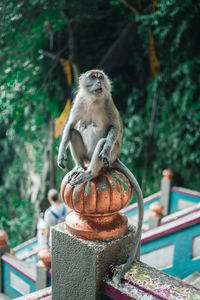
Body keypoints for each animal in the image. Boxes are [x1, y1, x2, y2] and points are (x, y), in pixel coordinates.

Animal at [57, 69, 144, 282]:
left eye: (100, 76)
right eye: (93, 76)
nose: (98, 82)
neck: (93, 100)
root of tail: (115, 159)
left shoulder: (108, 100)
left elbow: (114, 128)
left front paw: (105, 147)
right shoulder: (79, 101)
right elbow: (70, 125)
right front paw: (61, 154)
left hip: (110, 157)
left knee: (103, 142)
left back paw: (90, 173)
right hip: (87, 156)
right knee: (75, 131)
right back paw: (78, 167)